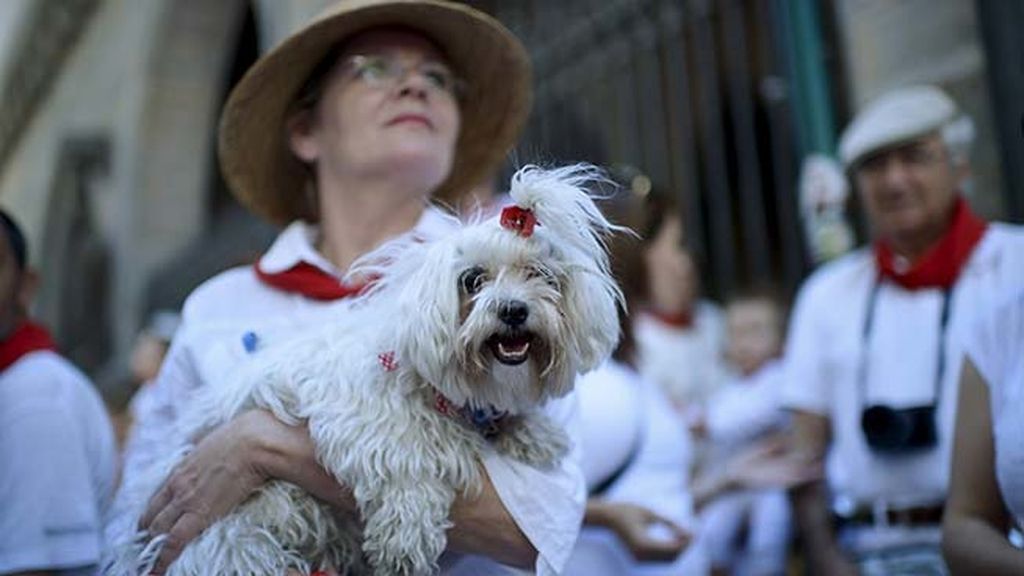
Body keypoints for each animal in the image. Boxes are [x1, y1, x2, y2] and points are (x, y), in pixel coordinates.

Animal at [108, 163, 626, 569]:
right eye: (472, 280)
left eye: (541, 276)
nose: (514, 311)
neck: (435, 389)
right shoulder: (360, 421)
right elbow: (406, 460)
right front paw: (407, 537)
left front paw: (534, 433)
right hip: (233, 537)